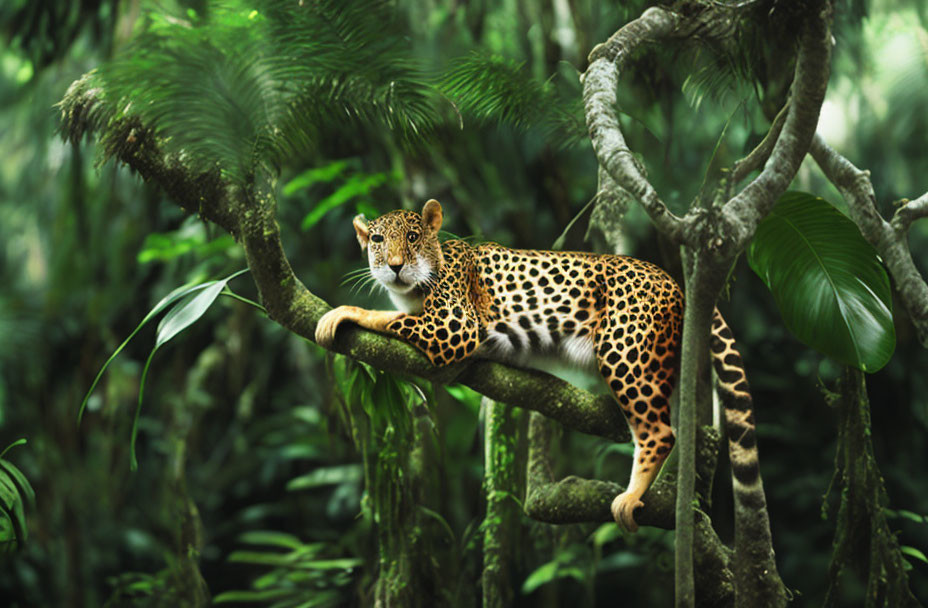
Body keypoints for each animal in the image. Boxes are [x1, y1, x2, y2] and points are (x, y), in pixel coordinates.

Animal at [316, 200, 764, 532]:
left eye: (411, 238)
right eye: (377, 240)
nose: (394, 265)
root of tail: (672, 281)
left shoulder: (454, 325)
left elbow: (385, 317)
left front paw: (339, 313)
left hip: (624, 352)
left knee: (659, 431)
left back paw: (632, 496)